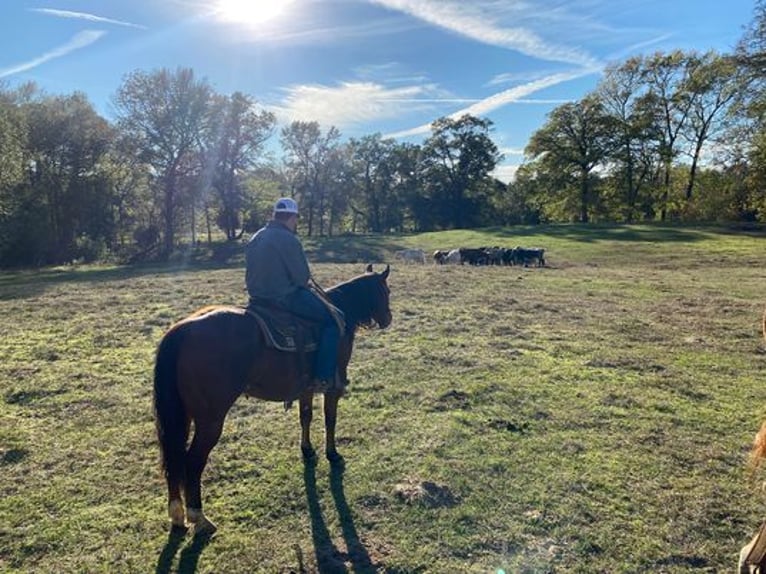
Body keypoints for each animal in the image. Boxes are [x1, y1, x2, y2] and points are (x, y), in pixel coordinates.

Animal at [153, 264, 392, 536]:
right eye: (386, 291)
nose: (388, 318)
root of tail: (182, 330)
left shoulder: (306, 387)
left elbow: (306, 416)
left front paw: (307, 450)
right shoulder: (333, 386)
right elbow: (330, 419)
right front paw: (332, 454)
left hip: (181, 416)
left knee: (174, 458)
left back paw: (177, 515)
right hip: (209, 421)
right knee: (192, 462)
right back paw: (199, 518)